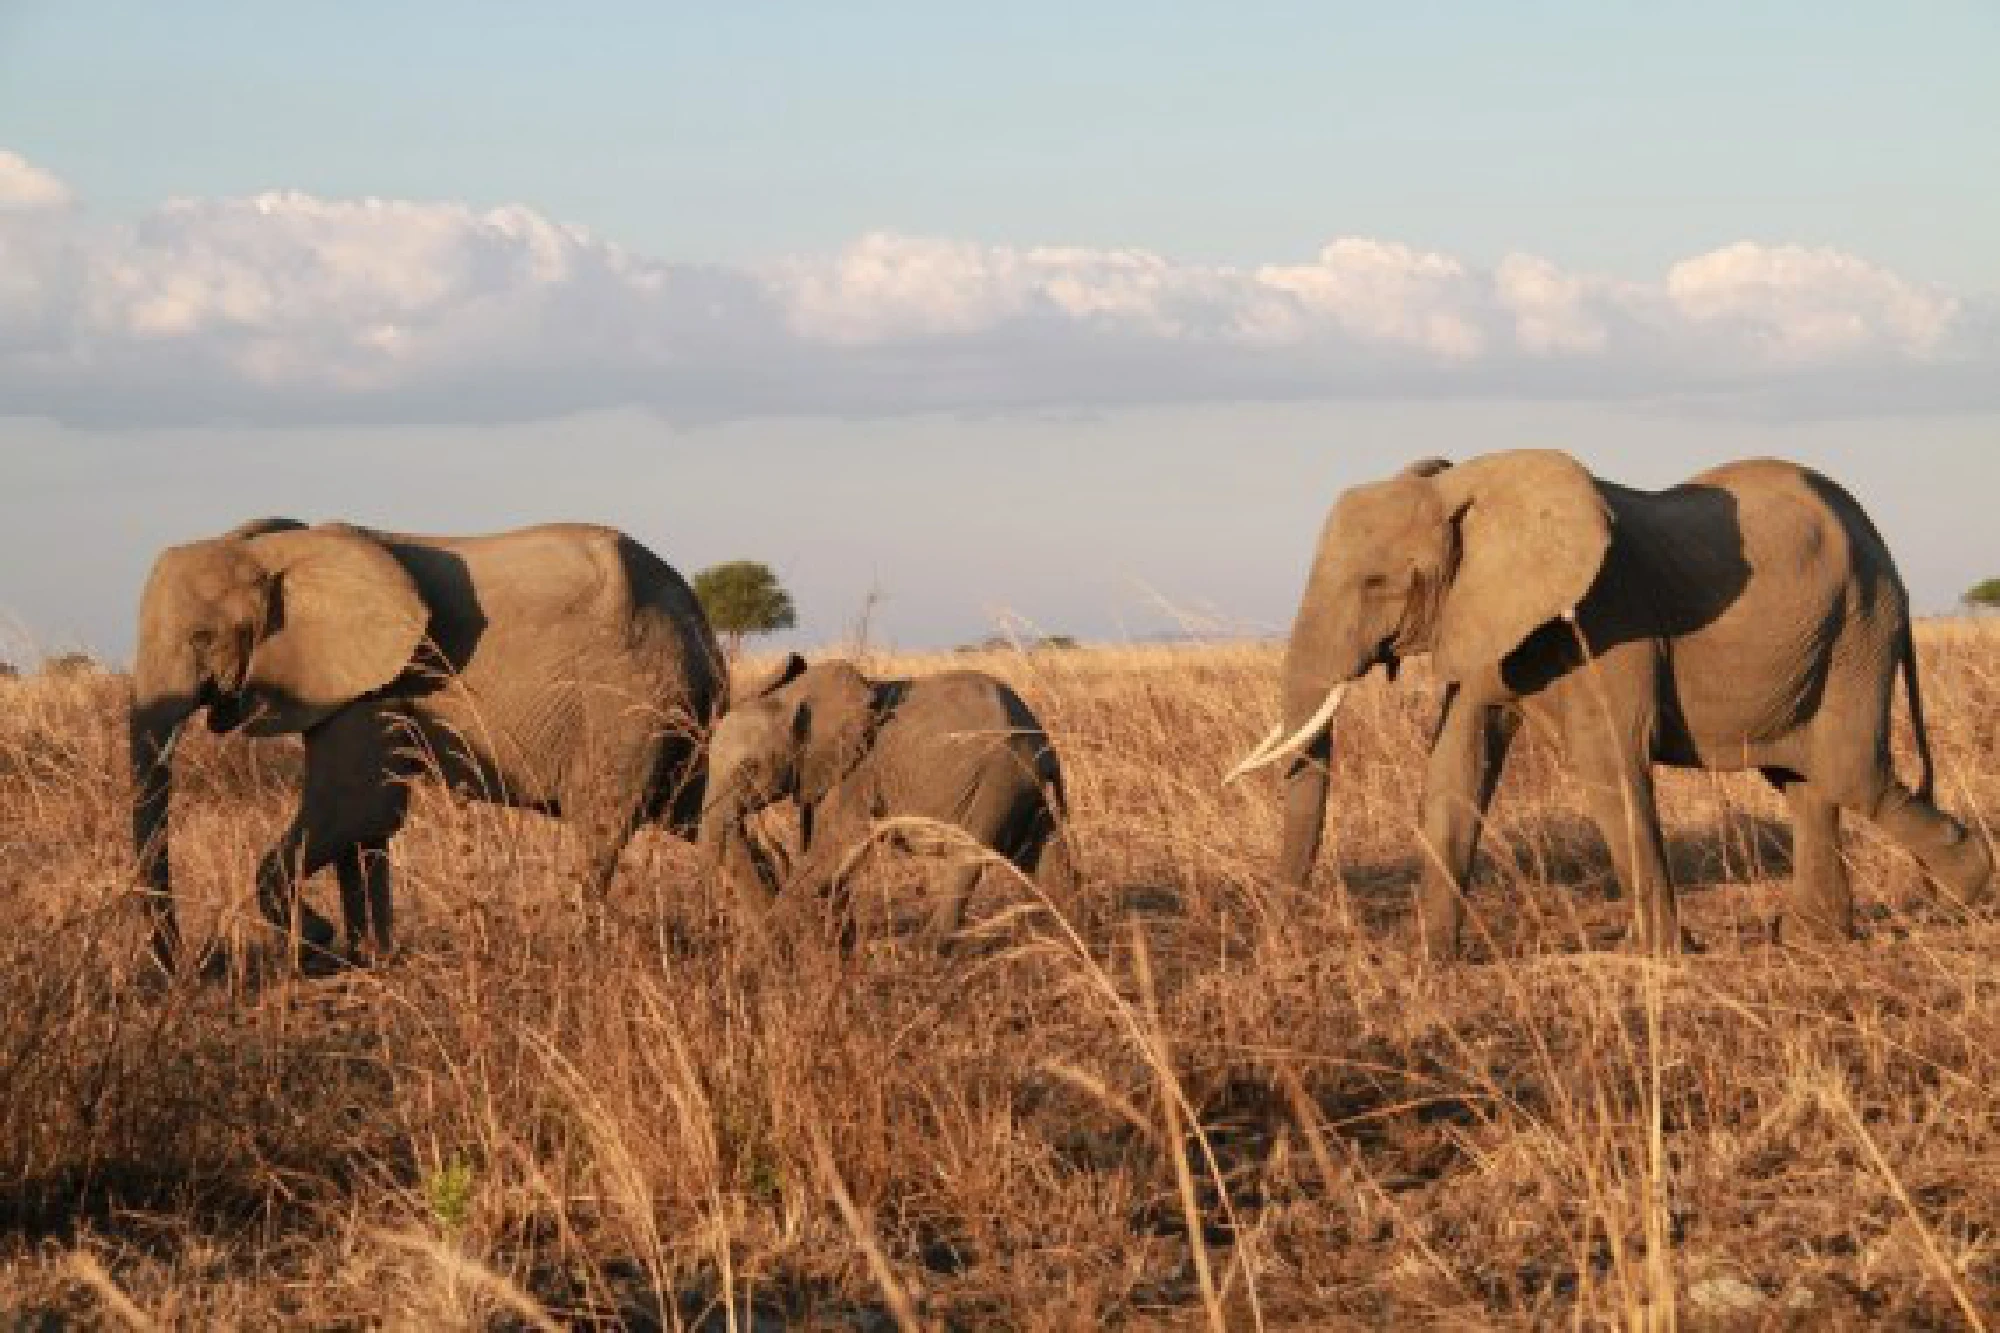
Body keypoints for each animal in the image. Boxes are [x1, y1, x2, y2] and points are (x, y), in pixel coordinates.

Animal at [131, 517, 725, 971]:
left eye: (202, 638)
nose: (191, 968)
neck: (279, 551)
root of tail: (695, 615)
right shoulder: (352, 687)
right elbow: (366, 826)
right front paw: (367, 957)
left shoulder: (373, 689)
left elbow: (356, 808)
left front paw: (321, 946)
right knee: (701, 813)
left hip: (629, 704)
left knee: (601, 825)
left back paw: (583, 954)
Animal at [699, 654, 1072, 952]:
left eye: (750, 769)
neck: (792, 696)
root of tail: (1044, 743)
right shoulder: (822, 772)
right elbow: (824, 852)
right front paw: (835, 945)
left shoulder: (859, 772)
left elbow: (834, 846)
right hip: (1023, 788)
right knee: (1040, 848)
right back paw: (1064, 932)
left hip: (1000, 778)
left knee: (970, 856)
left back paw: (924, 953)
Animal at [1228, 451, 1992, 958]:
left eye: (1377, 582)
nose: (1278, 944)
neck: (1470, 482)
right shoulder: (1482, 619)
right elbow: (1455, 769)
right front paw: (1432, 961)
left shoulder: (1605, 618)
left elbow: (1607, 764)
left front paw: (1656, 956)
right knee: (1805, 782)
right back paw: (1811, 938)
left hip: (1859, 628)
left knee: (1848, 773)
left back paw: (1965, 887)